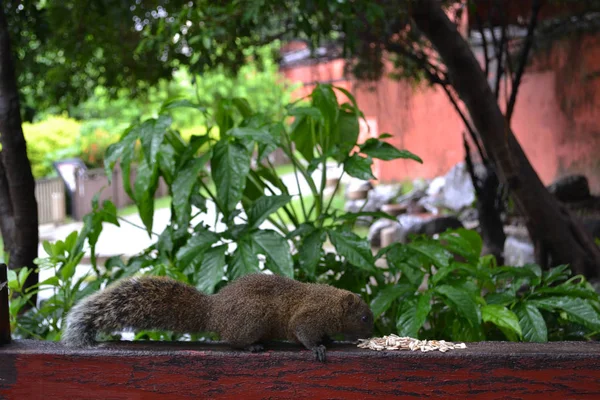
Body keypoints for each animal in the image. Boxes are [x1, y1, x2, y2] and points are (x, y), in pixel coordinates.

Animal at [63, 274, 372, 360]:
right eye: (364, 318)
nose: (372, 331)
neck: (331, 302)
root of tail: (214, 313)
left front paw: (329, 341)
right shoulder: (309, 316)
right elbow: (303, 333)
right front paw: (318, 348)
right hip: (251, 319)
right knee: (233, 341)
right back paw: (251, 346)